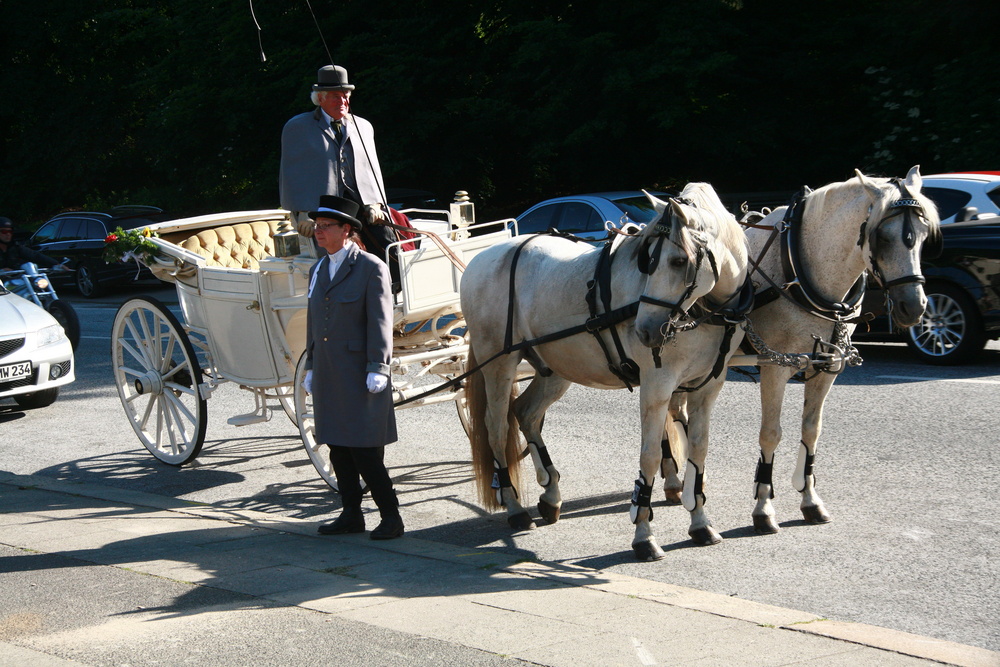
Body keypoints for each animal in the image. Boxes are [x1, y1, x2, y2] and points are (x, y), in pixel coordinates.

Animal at [462, 181, 752, 560]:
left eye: (678, 261)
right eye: (649, 262)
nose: (645, 330)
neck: (705, 312)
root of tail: (481, 258)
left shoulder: (707, 388)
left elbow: (697, 451)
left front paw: (701, 523)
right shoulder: (657, 386)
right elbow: (648, 456)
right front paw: (644, 535)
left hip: (556, 368)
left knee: (525, 413)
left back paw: (550, 493)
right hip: (498, 363)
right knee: (496, 428)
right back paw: (514, 508)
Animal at [664, 168, 936, 536]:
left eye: (922, 235)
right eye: (882, 235)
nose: (914, 307)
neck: (801, 269)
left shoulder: (827, 366)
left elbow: (811, 430)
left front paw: (810, 499)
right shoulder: (775, 366)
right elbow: (771, 434)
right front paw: (763, 508)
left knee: (677, 412)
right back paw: (673, 481)